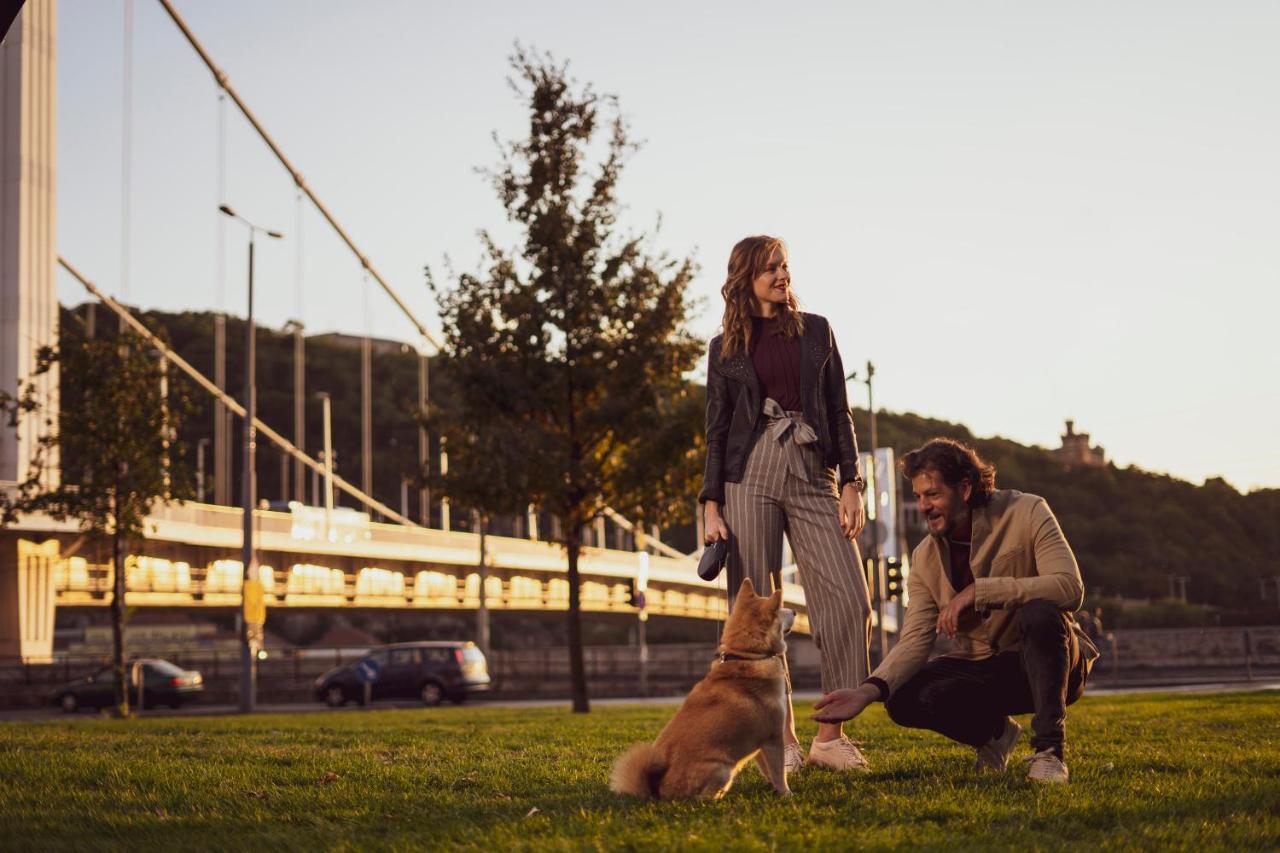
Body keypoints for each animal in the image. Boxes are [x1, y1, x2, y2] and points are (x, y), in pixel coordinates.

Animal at [606, 573, 788, 799]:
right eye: (782, 610)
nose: (795, 611)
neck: (748, 656)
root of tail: (659, 791)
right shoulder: (774, 738)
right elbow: (780, 774)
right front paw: (787, 795)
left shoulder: (761, 744)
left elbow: (769, 772)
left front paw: (774, 789)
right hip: (722, 769)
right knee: (703, 798)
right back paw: (719, 797)